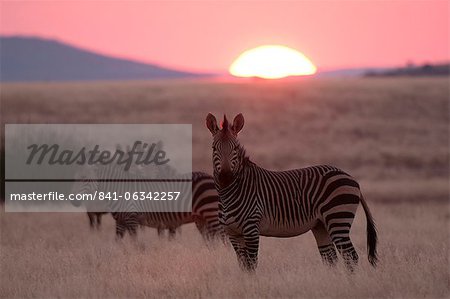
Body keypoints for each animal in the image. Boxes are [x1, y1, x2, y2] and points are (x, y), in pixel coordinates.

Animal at [206, 113, 378, 274]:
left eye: (235, 148)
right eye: (214, 148)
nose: (225, 177)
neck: (230, 194)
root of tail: (350, 177)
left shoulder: (251, 228)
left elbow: (251, 265)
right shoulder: (233, 233)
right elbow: (243, 266)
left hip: (337, 218)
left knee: (351, 257)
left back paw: (349, 283)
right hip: (321, 225)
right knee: (330, 258)